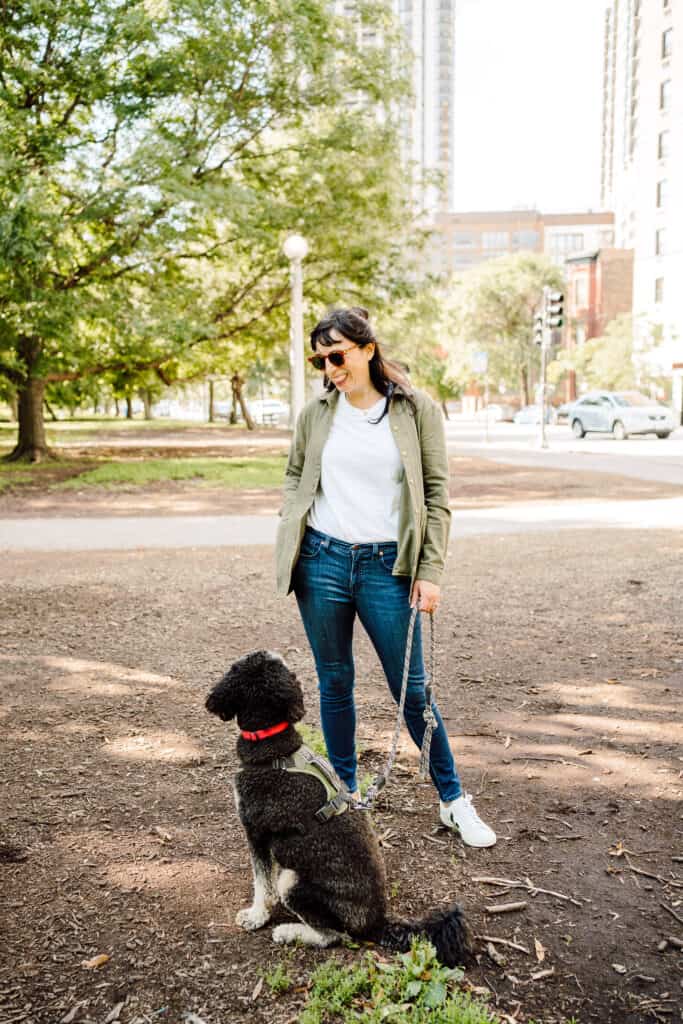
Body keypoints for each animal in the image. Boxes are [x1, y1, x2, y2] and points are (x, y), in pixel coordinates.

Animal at [202, 651, 471, 962]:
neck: (273, 747)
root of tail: (377, 923)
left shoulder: (256, 831)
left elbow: (262, 884)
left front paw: (256, 916)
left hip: (292, 881)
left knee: (332, 936)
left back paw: (290, 931)